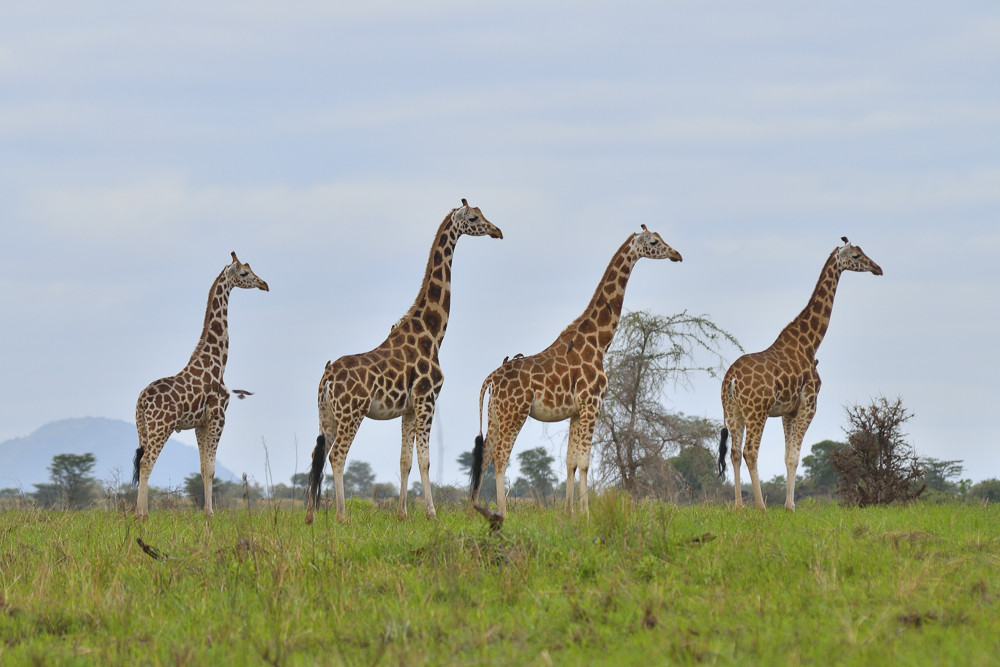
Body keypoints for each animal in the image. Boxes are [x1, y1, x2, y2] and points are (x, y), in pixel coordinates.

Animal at [132, 252, 268, 519]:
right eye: (245, 273)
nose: (264, 284)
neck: (218, 362)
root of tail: (141, 401)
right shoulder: (218, 416)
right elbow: (211, 467)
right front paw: (210, 513)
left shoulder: (199, 423)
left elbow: (203, 467)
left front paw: (207, 512)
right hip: (160, 426)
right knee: (147, 461)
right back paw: (142, 515)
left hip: (142, 428)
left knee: (142, 461)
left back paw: (138, 513)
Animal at [305, 199, 503, 524]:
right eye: (474, 218)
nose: (497, 231)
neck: (433, 334)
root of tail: (327, 377)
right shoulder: (427, 399)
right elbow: (425, 460)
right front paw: (431, 514)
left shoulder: (408, 409)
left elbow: (404, 461)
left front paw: (402, 514)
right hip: (352, 413)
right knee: (337, 456)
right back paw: (342, 516)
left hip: (326, 415)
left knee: (317, 455)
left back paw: (310, 516)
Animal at [470, 226, 682, 517]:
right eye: (653, 242)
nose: (676, 254)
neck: (599, 342)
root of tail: (490, 378)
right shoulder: (592, 404)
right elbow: (584, 462)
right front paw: (587, 514)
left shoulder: (575, 411)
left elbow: (570, 461)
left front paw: (569, 513)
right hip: (515, 412)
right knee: (501, 457)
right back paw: (502, 512)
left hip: (495, 414)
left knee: (486, 455)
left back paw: (474, 510)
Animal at [717, 237, 883, 510]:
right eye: (857, 256)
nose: (878, 268)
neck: (810, 343)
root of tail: (731, 379)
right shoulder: (809, 403)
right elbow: (795, 456)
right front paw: (790, 506)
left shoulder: (788, 410)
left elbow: (787, 456)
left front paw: (788, 504)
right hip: (757, 411)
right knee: (750, 451)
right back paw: (761, 507)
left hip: (732, 412)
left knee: (734, 452)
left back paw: (739, 507)